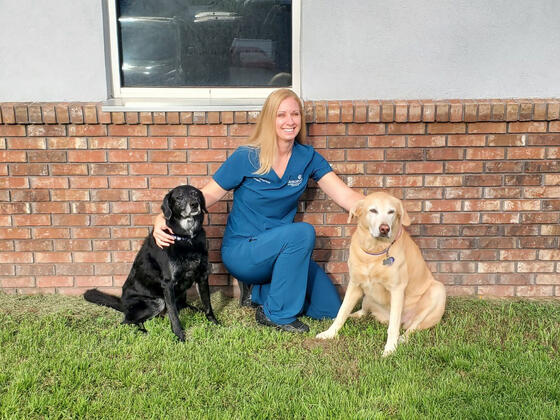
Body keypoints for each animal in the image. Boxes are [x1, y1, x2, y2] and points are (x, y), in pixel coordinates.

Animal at [84, 185, 218, 340]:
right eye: (179, 197)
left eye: (195, 194)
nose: (194, 204)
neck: (187, 238)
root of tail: (123, 304)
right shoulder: (168, 284)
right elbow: (174, 315)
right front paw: (179, 336)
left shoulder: (202, 276)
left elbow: (208, 304)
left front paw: (215, 323)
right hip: (156, 302)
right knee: (126, 322)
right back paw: (144, 332)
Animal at [320, 192, 446, 356]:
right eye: (373, 210)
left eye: (391, 212)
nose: (385, 228)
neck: (373, 252)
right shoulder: (354, 284)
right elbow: (342, 311)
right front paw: (330, 333)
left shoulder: (397, 289)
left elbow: (393, 327)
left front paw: (390, 349)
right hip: (367, 297)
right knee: (363, 311)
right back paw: (352, 316)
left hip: (437, 291)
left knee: (412, 327)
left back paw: (402, 338)